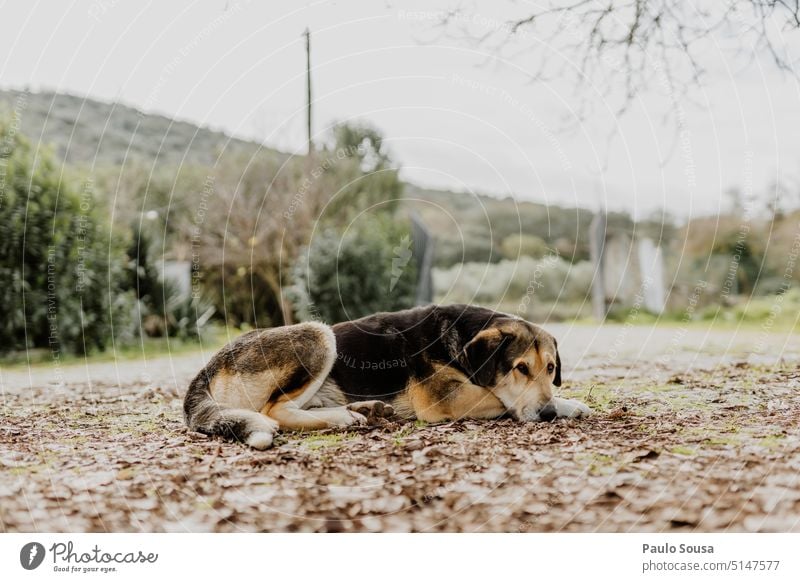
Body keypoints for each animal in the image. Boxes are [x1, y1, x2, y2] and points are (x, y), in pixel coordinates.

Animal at [184, 306, 592, 452]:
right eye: (520, 368)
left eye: (551, 368)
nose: (547, 415)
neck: (462, 337)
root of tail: (206, 368)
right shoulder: (445, 399)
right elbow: (500, 399)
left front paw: (566, 404)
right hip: (318, 335)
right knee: (275, 411)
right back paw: (347, 417)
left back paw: (369, 411)